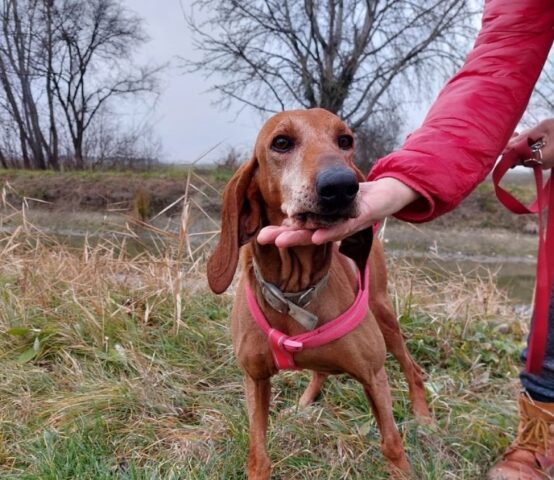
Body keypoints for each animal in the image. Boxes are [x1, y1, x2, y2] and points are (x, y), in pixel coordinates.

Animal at [207, 109, 426, 480]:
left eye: (345, 140)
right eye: (281, 142)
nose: (341, 186)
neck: (295, 292)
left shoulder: (373, 376)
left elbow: (392, 445)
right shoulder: (255, 378)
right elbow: (258, 456)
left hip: (385, 316)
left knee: (412, 368)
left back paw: (424, 415)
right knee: (320, 370)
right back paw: (304, 402)